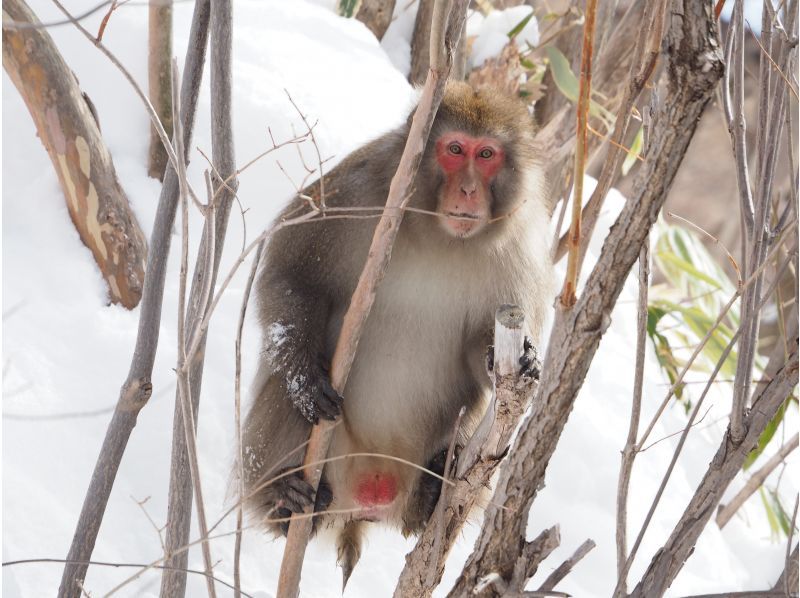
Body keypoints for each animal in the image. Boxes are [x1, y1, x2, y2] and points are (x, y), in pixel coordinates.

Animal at [242, 79, 556, 584]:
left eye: (487, 154)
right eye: (454, 149)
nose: (468, 189)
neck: (439, 235)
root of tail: (367, 503)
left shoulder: (521, 248)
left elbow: (484, 354)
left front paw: (513, 357)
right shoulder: (360, 188)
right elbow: (292, 274)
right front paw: (305, 379)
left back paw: (432, 491)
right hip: (332, 463)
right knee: (281, 389)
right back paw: (283, 498)